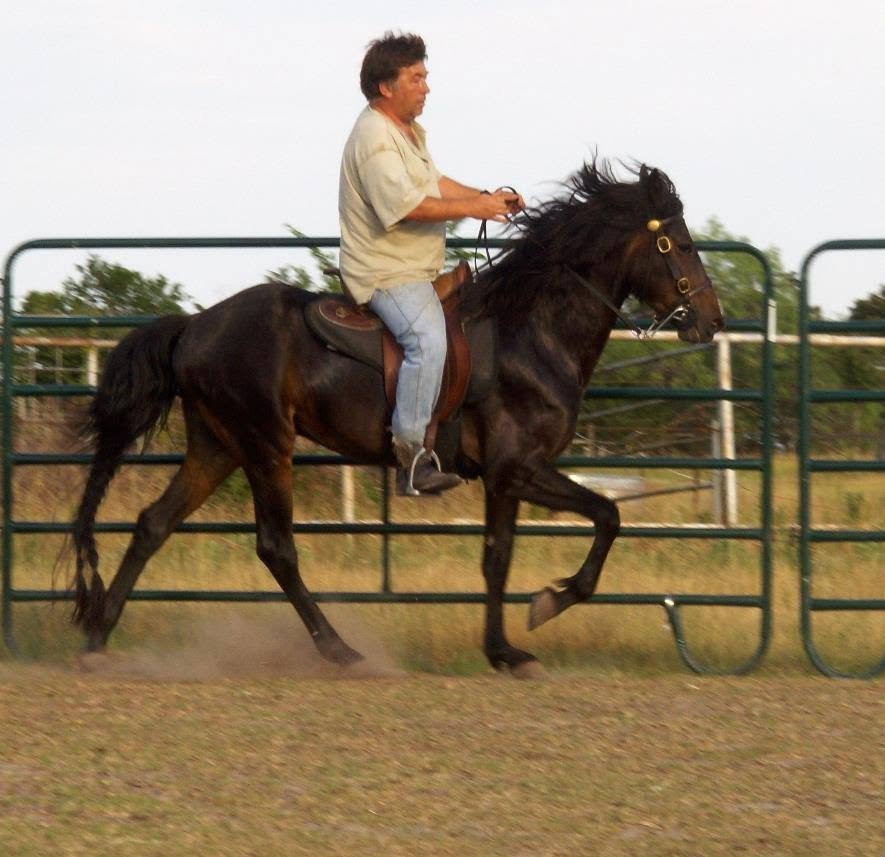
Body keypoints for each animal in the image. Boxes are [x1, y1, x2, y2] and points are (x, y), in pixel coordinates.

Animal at [71, 160, 724, 676]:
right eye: (681, 243)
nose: (711, 320)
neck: (530, 331)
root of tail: (195, 326)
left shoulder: (504, 479)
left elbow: (498, 557)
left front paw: (504, 652)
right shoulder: (520, 467)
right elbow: (608, 515)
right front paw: (550, 602)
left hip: (217, 447)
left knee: (153, 524)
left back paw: (99, 637)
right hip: (265, 447)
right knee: (276, 547)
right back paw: (340, 650)